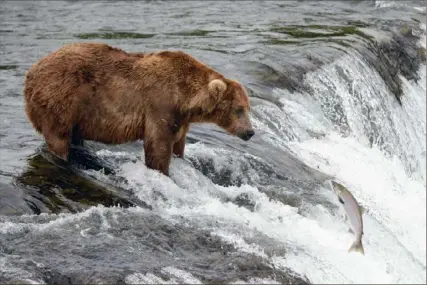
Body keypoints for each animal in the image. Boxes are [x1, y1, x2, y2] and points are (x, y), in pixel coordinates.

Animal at [23, 42, 256, 175]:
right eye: (239, 109)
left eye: (248, 108)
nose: (250, 132)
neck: (185, 99)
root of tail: (31, 72)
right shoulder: (161, 106)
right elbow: (157, 147)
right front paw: (162, 172)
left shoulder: (181, 119)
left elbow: (179, 144)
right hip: (60, 100)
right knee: (58, 137)